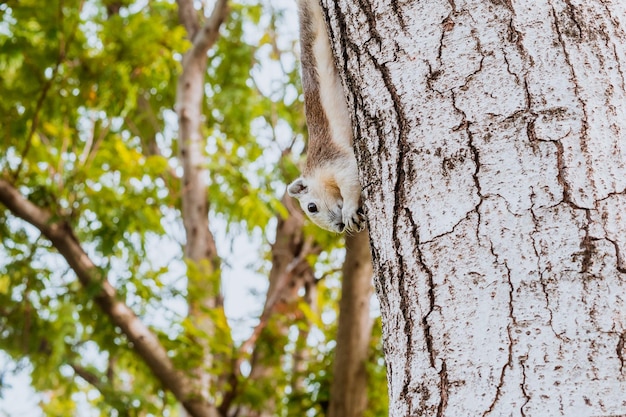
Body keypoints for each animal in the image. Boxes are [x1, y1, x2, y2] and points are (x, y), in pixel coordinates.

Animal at [286, 0, 364, 232]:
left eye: (311, 207)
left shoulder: (334, 162)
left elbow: (351, 176)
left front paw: (349, 211)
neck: (315, 172)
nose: (339, 227)